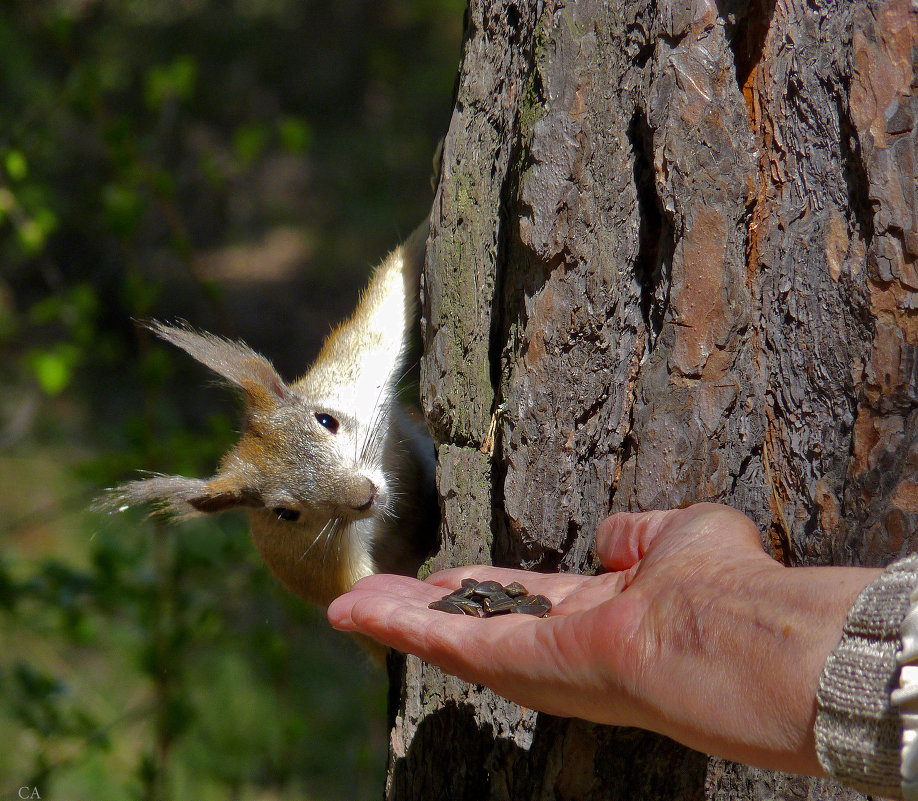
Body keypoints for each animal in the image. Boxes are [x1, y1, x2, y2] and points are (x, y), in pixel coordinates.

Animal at [100, 220, 442, 632]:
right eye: (283, 514)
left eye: (326, 419)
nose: (366, 496)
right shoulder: (322, 572)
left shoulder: (357, 369)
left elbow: (389, 294)